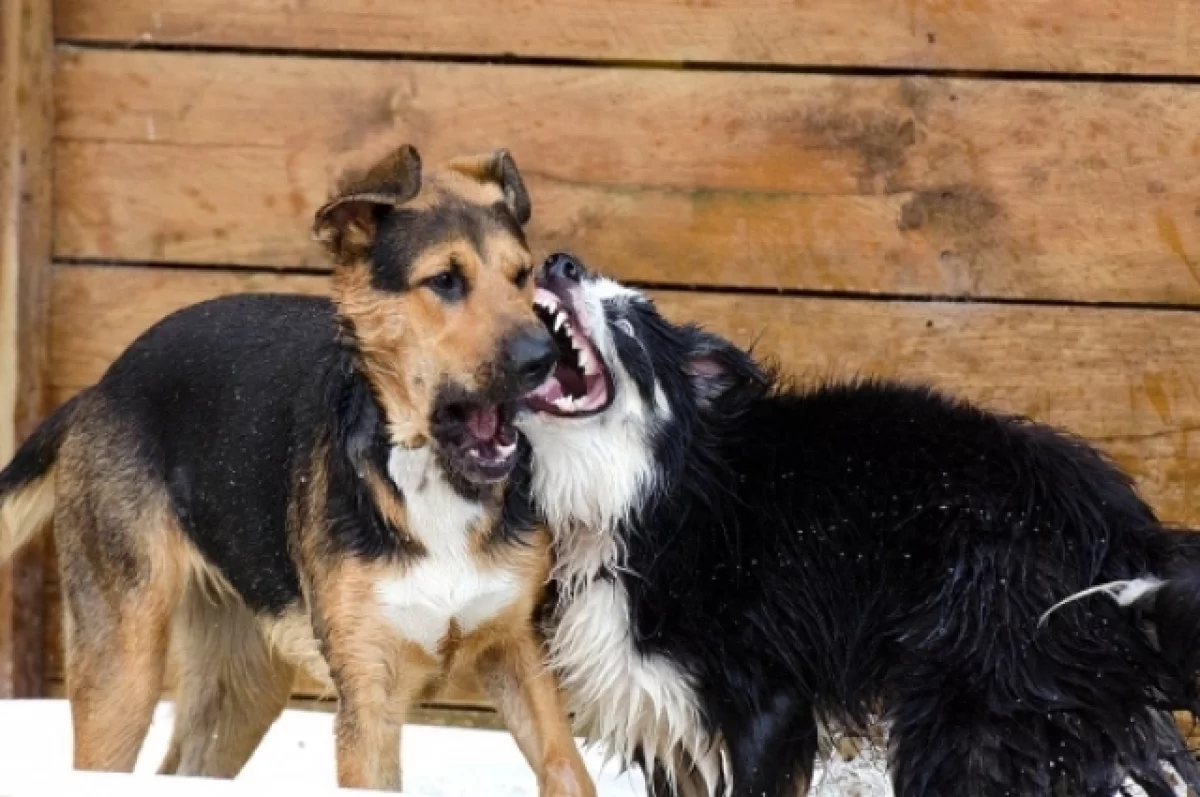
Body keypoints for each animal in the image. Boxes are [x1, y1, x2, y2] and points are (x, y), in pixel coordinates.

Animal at [0, 144, 595, 797]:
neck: (426, 478)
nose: (544, 359)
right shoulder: (369, 695)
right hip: (121, 668)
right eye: (444, 280)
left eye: (522, 276)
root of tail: (101, 385)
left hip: (242, 684)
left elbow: (570, 771)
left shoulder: (521, 653)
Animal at [520, 253, 1200, 797]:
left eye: (629, 324)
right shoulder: (662, 714)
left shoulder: (770, 701)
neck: (642, 499)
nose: (559, 261)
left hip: (974, 697)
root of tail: (1125, 529)